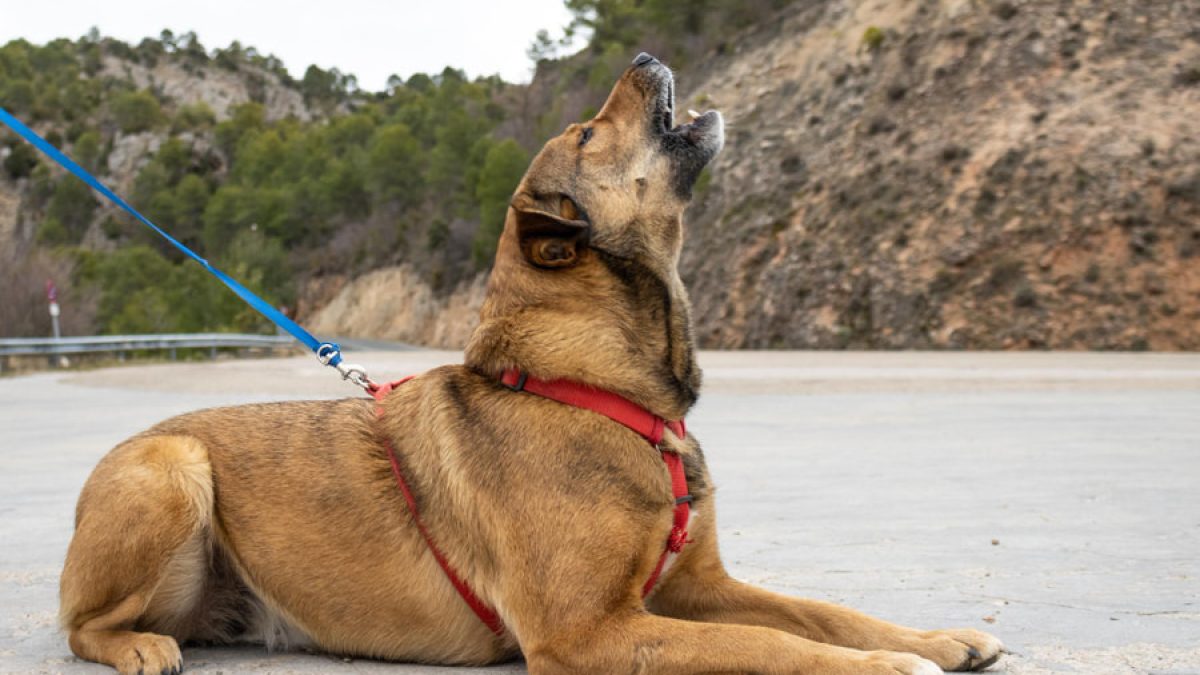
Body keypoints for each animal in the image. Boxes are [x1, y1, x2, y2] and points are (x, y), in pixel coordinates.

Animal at [60, 53, 1008, 672]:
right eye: (588, 133)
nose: (642, 53)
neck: (590, 387)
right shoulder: (589, 629)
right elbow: (772, 643)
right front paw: (891, 665)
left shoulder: (699, 587)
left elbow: (819, 610)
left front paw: (933, 637)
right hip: (171, 471)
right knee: (79, 624)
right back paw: (139, 643)